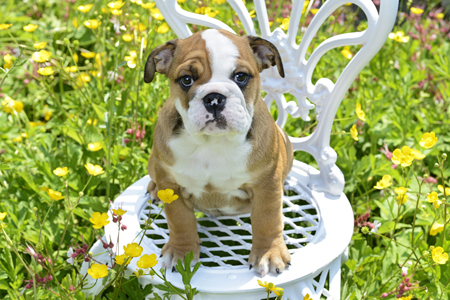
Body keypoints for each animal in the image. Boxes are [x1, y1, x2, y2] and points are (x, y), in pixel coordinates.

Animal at [142, 29, 294, 276]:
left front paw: (269, 253)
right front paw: (181, 252)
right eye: (186, 79)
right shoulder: (171, 185)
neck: (212, 143)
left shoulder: (267, 184)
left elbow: (267, 218)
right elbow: (179, 220)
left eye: (241, 76)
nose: (214, 98)